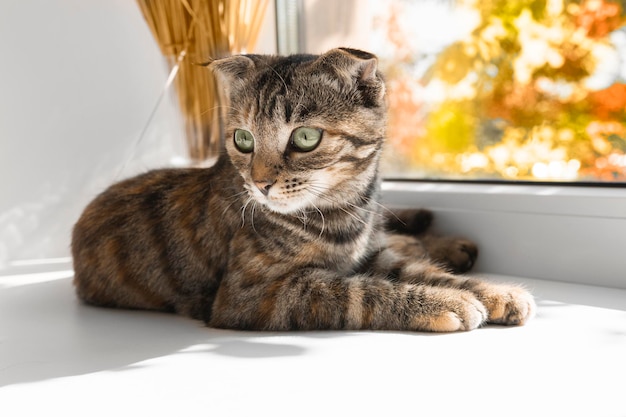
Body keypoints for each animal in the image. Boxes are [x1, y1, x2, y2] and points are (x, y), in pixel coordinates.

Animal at [72, 47, 532, 330]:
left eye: (306, 137)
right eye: (243, 139)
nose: (260, 184)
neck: (346, 210)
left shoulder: (371, 253)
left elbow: (420, 270)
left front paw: (494, 291)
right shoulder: (255, 295)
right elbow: (360, 292)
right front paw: (443, 303)